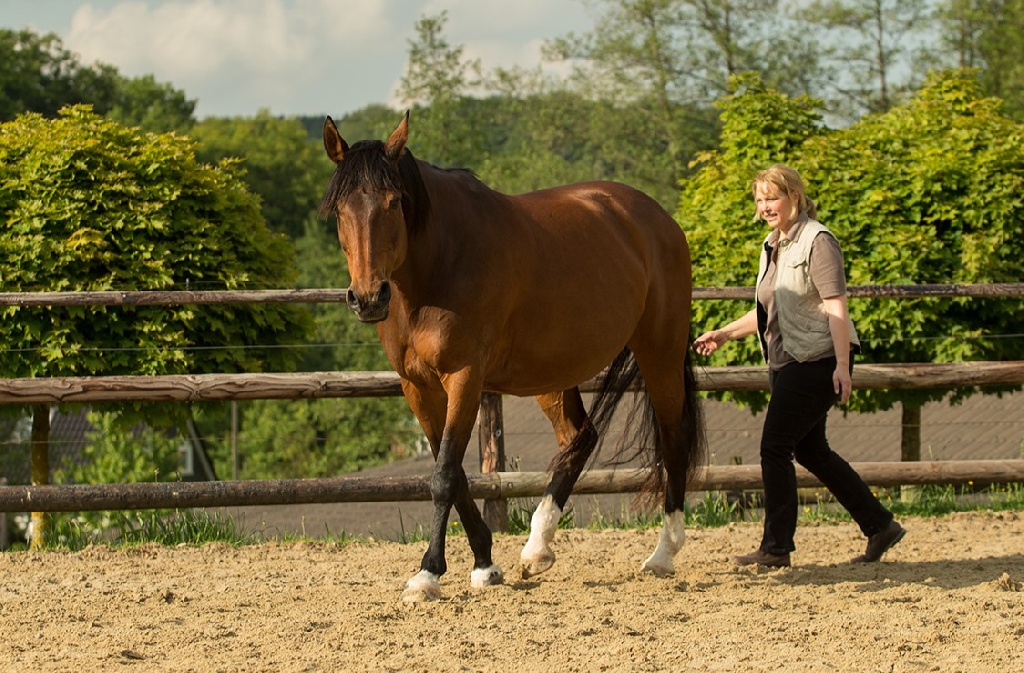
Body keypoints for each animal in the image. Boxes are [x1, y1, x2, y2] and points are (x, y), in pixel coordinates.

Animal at [319, 112, 704, 602]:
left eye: (392, 202)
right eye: (340, 210)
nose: (368, 298)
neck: (437, 266)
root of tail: (657, 219)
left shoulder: (464, 377)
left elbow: (444, 476)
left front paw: (427, 573)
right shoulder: (417, 386)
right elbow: (455, 473)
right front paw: (485, 563)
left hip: (660, 351)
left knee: (673, 437)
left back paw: (663, 553)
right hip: (553, 373)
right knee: (580, 438)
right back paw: (538, 548)